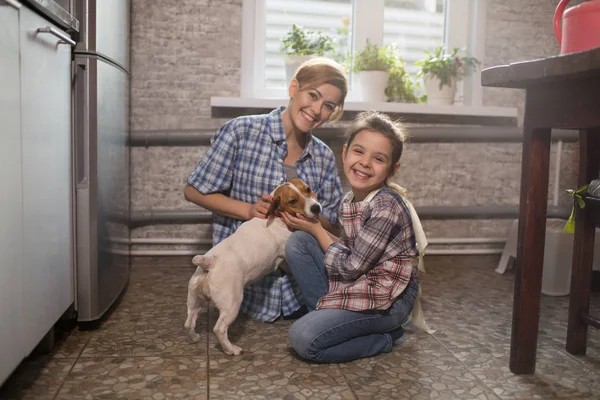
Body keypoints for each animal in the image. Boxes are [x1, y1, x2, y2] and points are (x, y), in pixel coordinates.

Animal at [184, 180, 322, 354]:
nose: (316, 208)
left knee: (189, 322)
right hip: (232, 304)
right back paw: (231, 349)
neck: (275, 216)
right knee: (219, 329)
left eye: (308, 189)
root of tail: (209, 261)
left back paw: (193, 338)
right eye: (292, 201)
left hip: (194, 300)